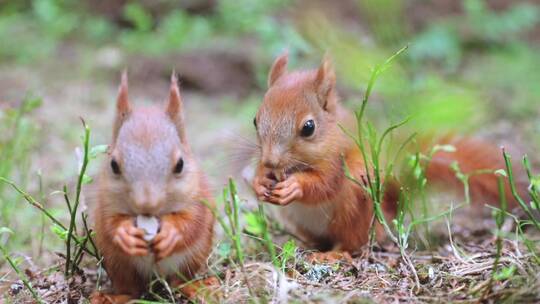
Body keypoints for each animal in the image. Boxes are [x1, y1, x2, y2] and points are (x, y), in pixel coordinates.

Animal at [90, 72, 215, 304]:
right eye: (113, 165)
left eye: (180, 164)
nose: (146, 205)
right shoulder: (106, 202)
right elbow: (110, 223)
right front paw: (124, 233)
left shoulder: (197, 196)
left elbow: (193, 221)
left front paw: (172, 233)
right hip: (118, 263)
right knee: (132, 289)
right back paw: (111, 297)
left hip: (194, 255)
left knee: (179, 282)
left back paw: (199, 288)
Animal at [249, 54, 528, 254]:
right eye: (255, 120)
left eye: (308, 127)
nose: (271, 161)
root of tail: (389, 212)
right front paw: (259, 181)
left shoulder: (339, 161)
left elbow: (325, 184)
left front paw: (295, 186)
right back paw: (304, 244)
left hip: (355, 209)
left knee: (354, 242)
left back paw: (333, 254)